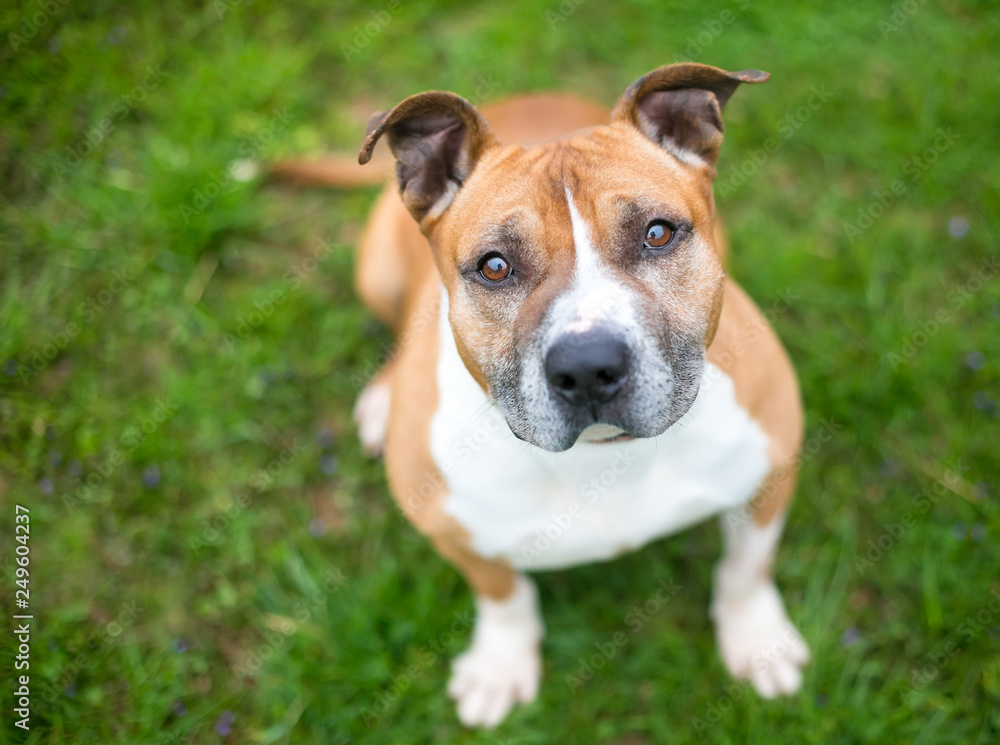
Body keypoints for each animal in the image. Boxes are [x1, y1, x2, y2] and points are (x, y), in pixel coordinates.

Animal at [278, 62, 808, 728]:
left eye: (658, 233)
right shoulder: (453, 530)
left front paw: (758, 640)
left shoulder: (771, 473)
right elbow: (503, 594)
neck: (606, 457)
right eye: (494, 266)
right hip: (374, 269)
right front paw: (500, 665)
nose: (587, 368)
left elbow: (745, 568)